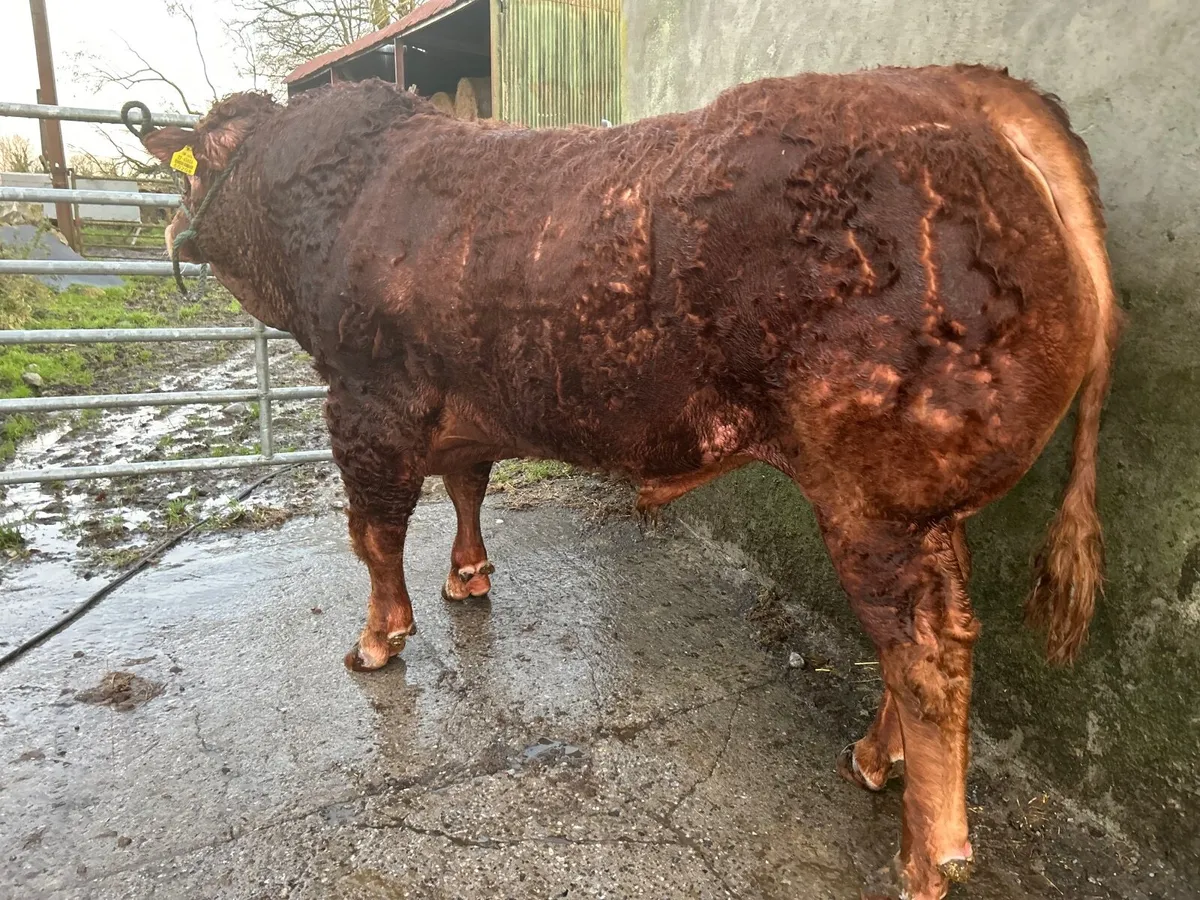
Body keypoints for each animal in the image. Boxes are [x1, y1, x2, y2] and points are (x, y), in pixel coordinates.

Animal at [138, 64, 1119, 900]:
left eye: (197, 168)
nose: (170, 231)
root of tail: (963, 87)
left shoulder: (366, 401)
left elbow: (374, 533)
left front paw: (379, 639)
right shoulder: (464, 402)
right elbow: (467, 488)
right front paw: (468, 577)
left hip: (874, 496)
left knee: (926, 656)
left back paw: (926, 855)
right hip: (919, 509)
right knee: (932, 631)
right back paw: (878, 758)